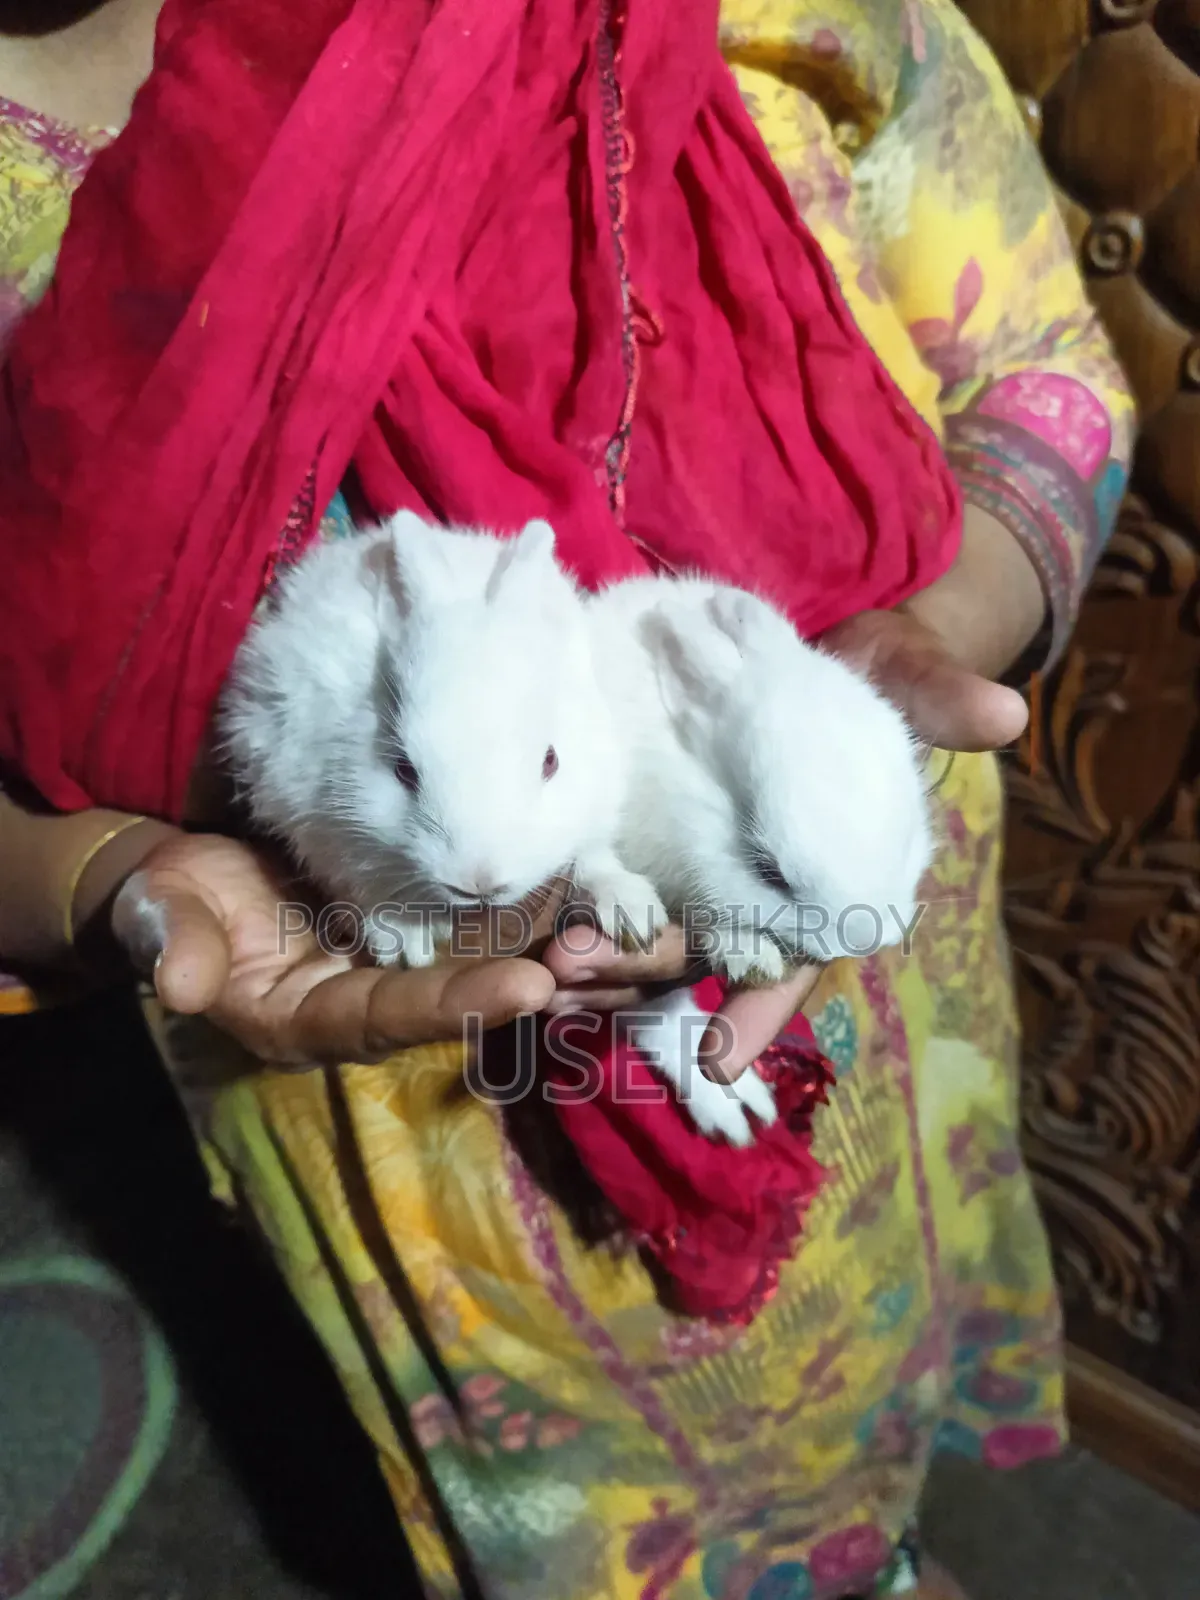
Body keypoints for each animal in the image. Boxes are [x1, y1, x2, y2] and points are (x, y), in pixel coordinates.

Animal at [220, 509, 665, 969]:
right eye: (402, 769)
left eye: (551, 761)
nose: (480, 882)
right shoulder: (322, 829)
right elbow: (366, 886)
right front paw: (406, 939)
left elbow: (593, 857)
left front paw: (633, 914)